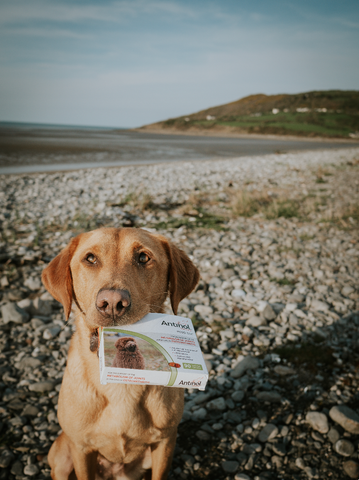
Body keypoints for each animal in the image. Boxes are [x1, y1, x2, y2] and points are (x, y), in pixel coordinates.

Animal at [42, 228, 201, 480]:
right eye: (90, 258)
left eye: (143, 257)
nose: (112, 303)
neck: (120, 381)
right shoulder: (81, 448)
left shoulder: (165, 442)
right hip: (61, 457)